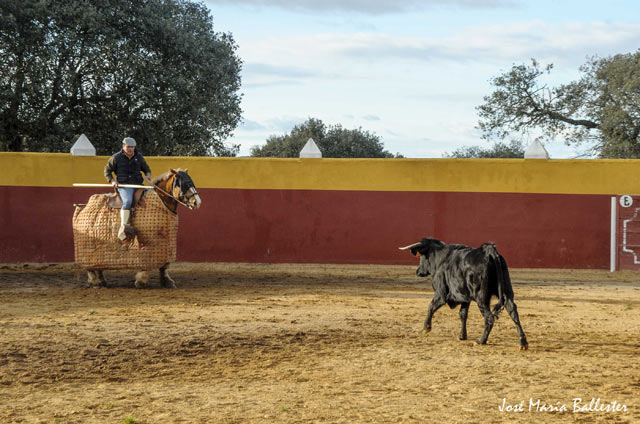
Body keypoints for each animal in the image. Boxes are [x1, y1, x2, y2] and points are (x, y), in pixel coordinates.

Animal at [71, 167, 200, 286]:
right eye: (184, 184)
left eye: (192, 182)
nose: (197, 202)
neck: (161, 201)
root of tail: (83, 206)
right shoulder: (149, 243)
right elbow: (146, 263)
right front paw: (141, 280)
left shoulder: (168, 243)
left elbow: (165, 265)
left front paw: (167, 281)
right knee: (90, 266)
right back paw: (95, 281)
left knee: (97, 264)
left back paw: (101, 280)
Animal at [400, 237, 528, 350]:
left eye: (421, 256)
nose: (417, 271)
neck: (440, 259)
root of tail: (488, 252)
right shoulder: (464, 297)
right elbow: (463, 314)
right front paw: (462, 336)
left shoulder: (441, 294)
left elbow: (431, 306)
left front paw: (425, 329)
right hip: (507, 291)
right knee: (513, 312)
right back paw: (523, 343)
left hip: (481, 298)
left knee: (489, 318)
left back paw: (481, 341)